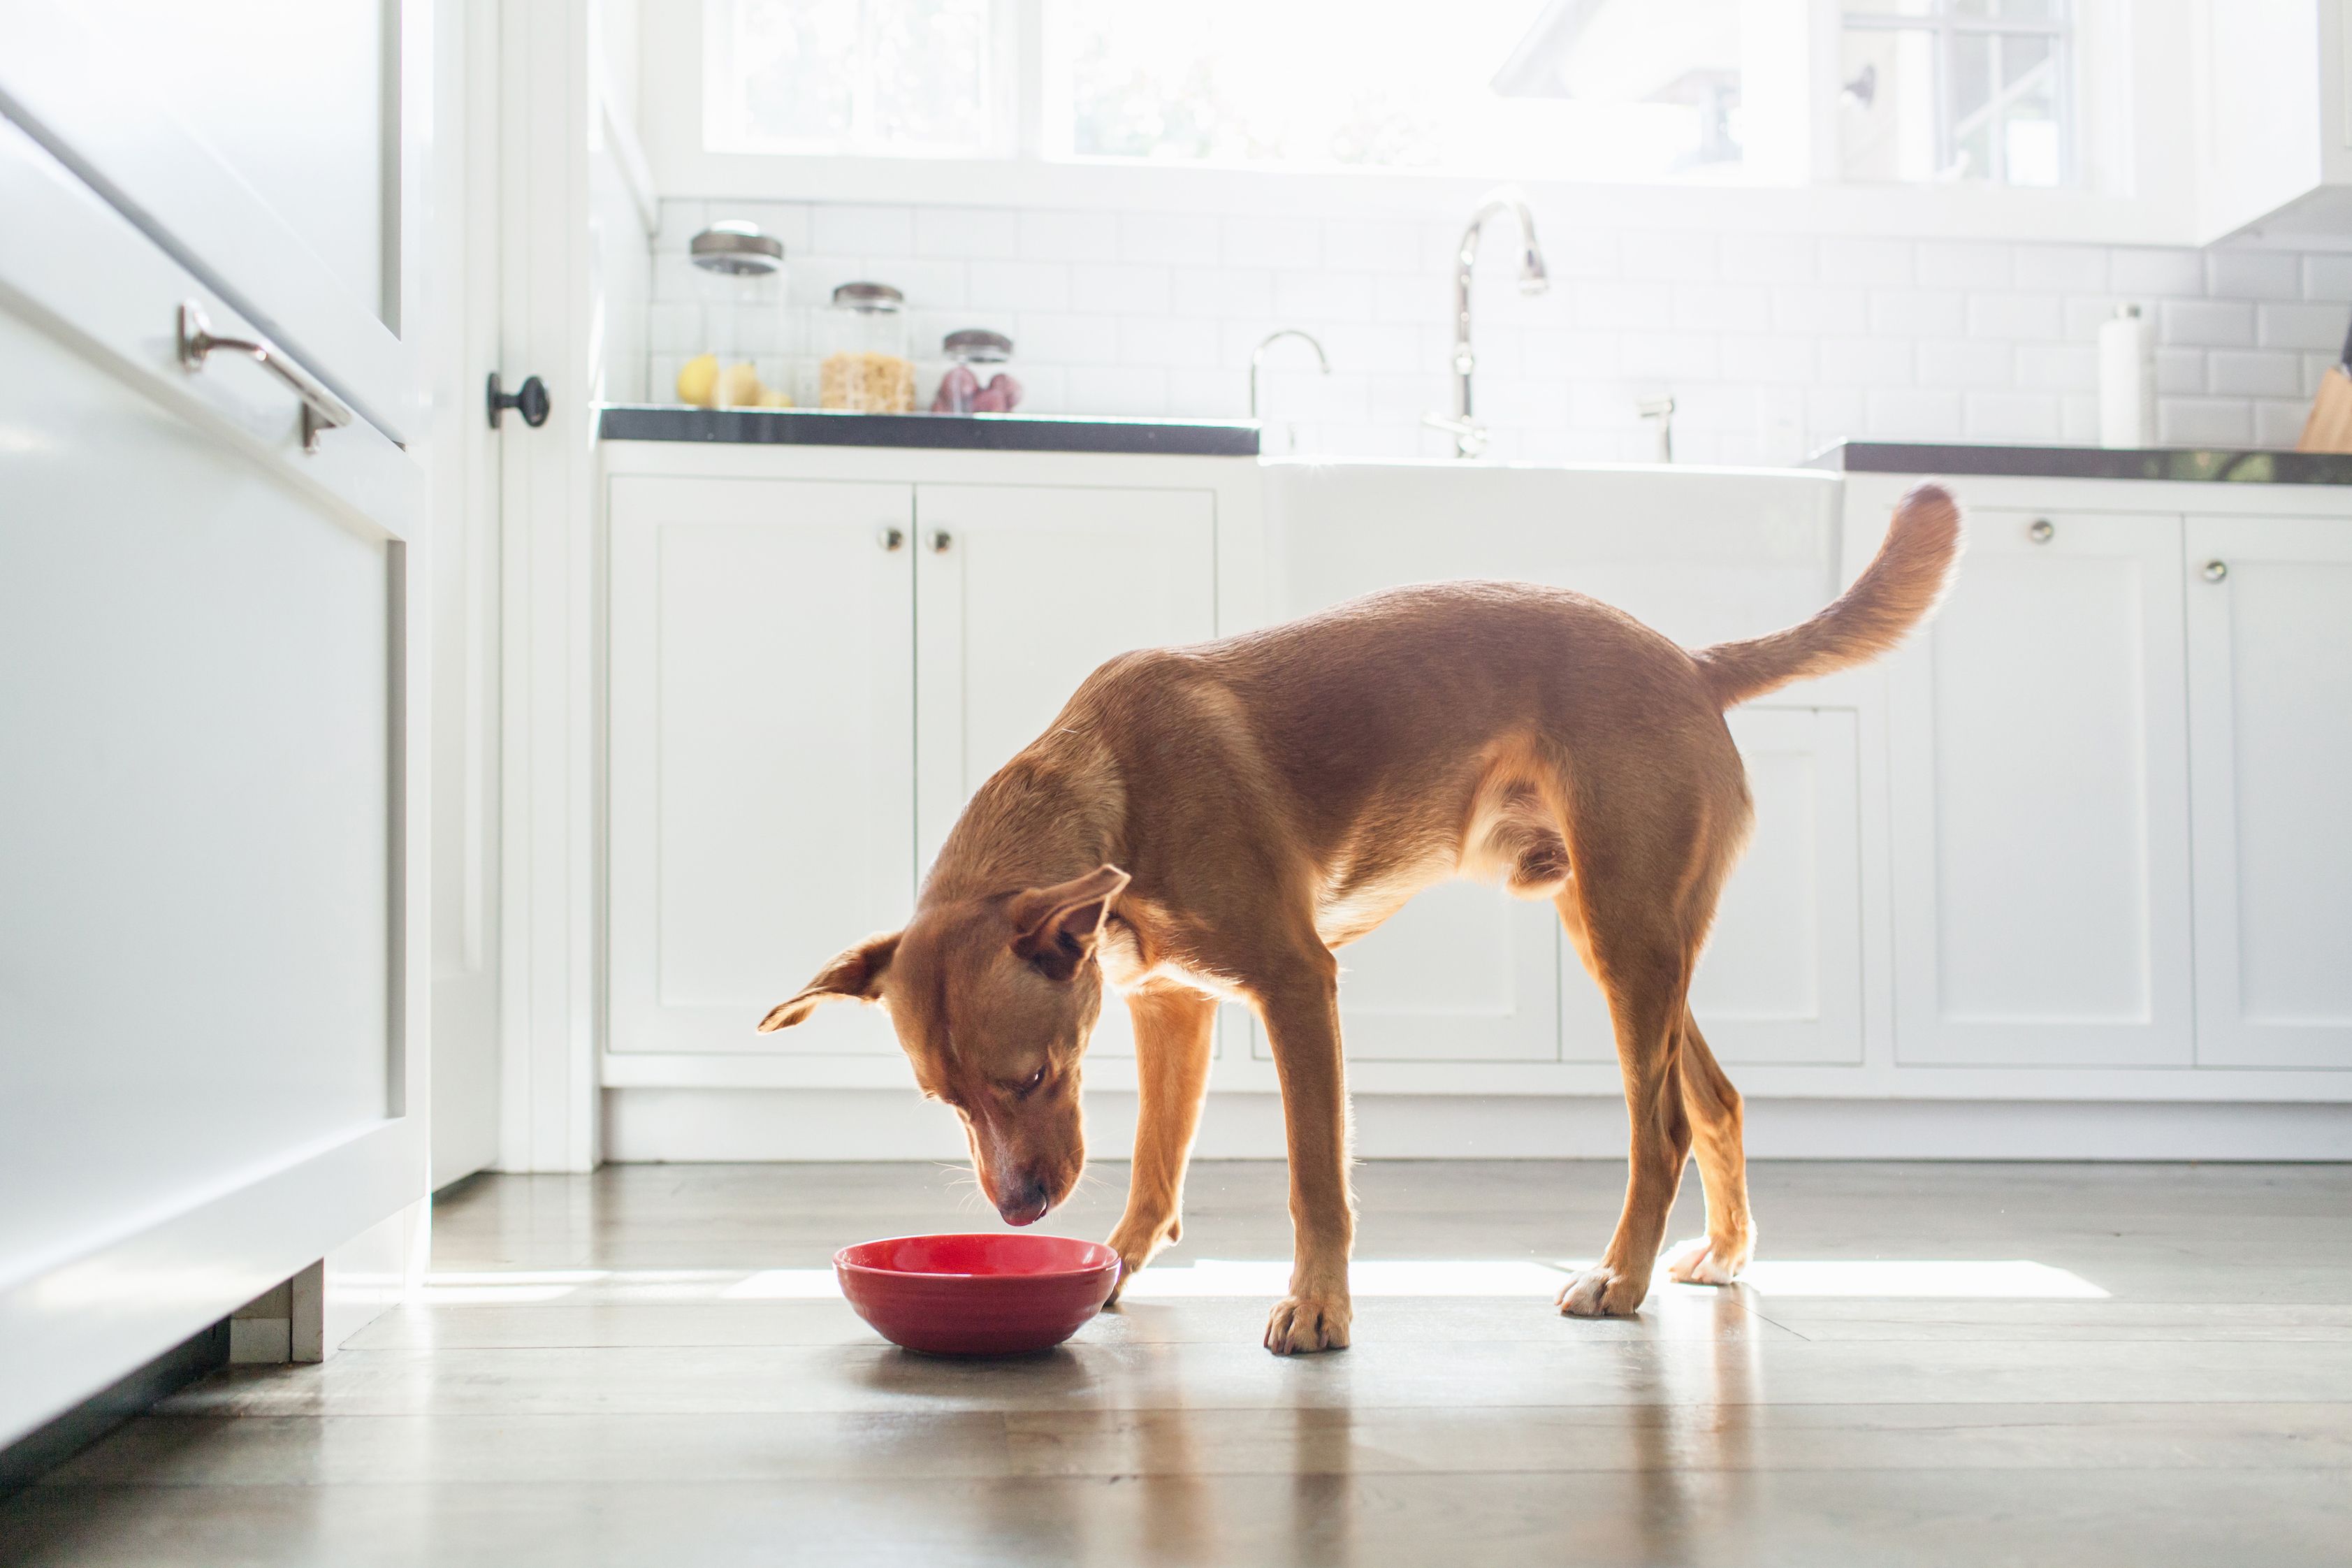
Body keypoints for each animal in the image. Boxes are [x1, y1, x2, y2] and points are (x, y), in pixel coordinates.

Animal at [762, 484, 1957, 1353]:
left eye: (1031, 1079)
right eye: (947, 1100)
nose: (1016, 1217)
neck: (1114, 787)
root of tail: (1690, 663)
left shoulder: (1297, 986)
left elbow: (1314, 1178)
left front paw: (1319, 1309)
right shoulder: (1170, 1010)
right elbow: (1155, 1168)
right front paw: (1114, 1268)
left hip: (1624, 936)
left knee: (1658, 1125)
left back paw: (1618, 1278)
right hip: (1623, 934)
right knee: (1716, 1099)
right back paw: (1723, 1252)